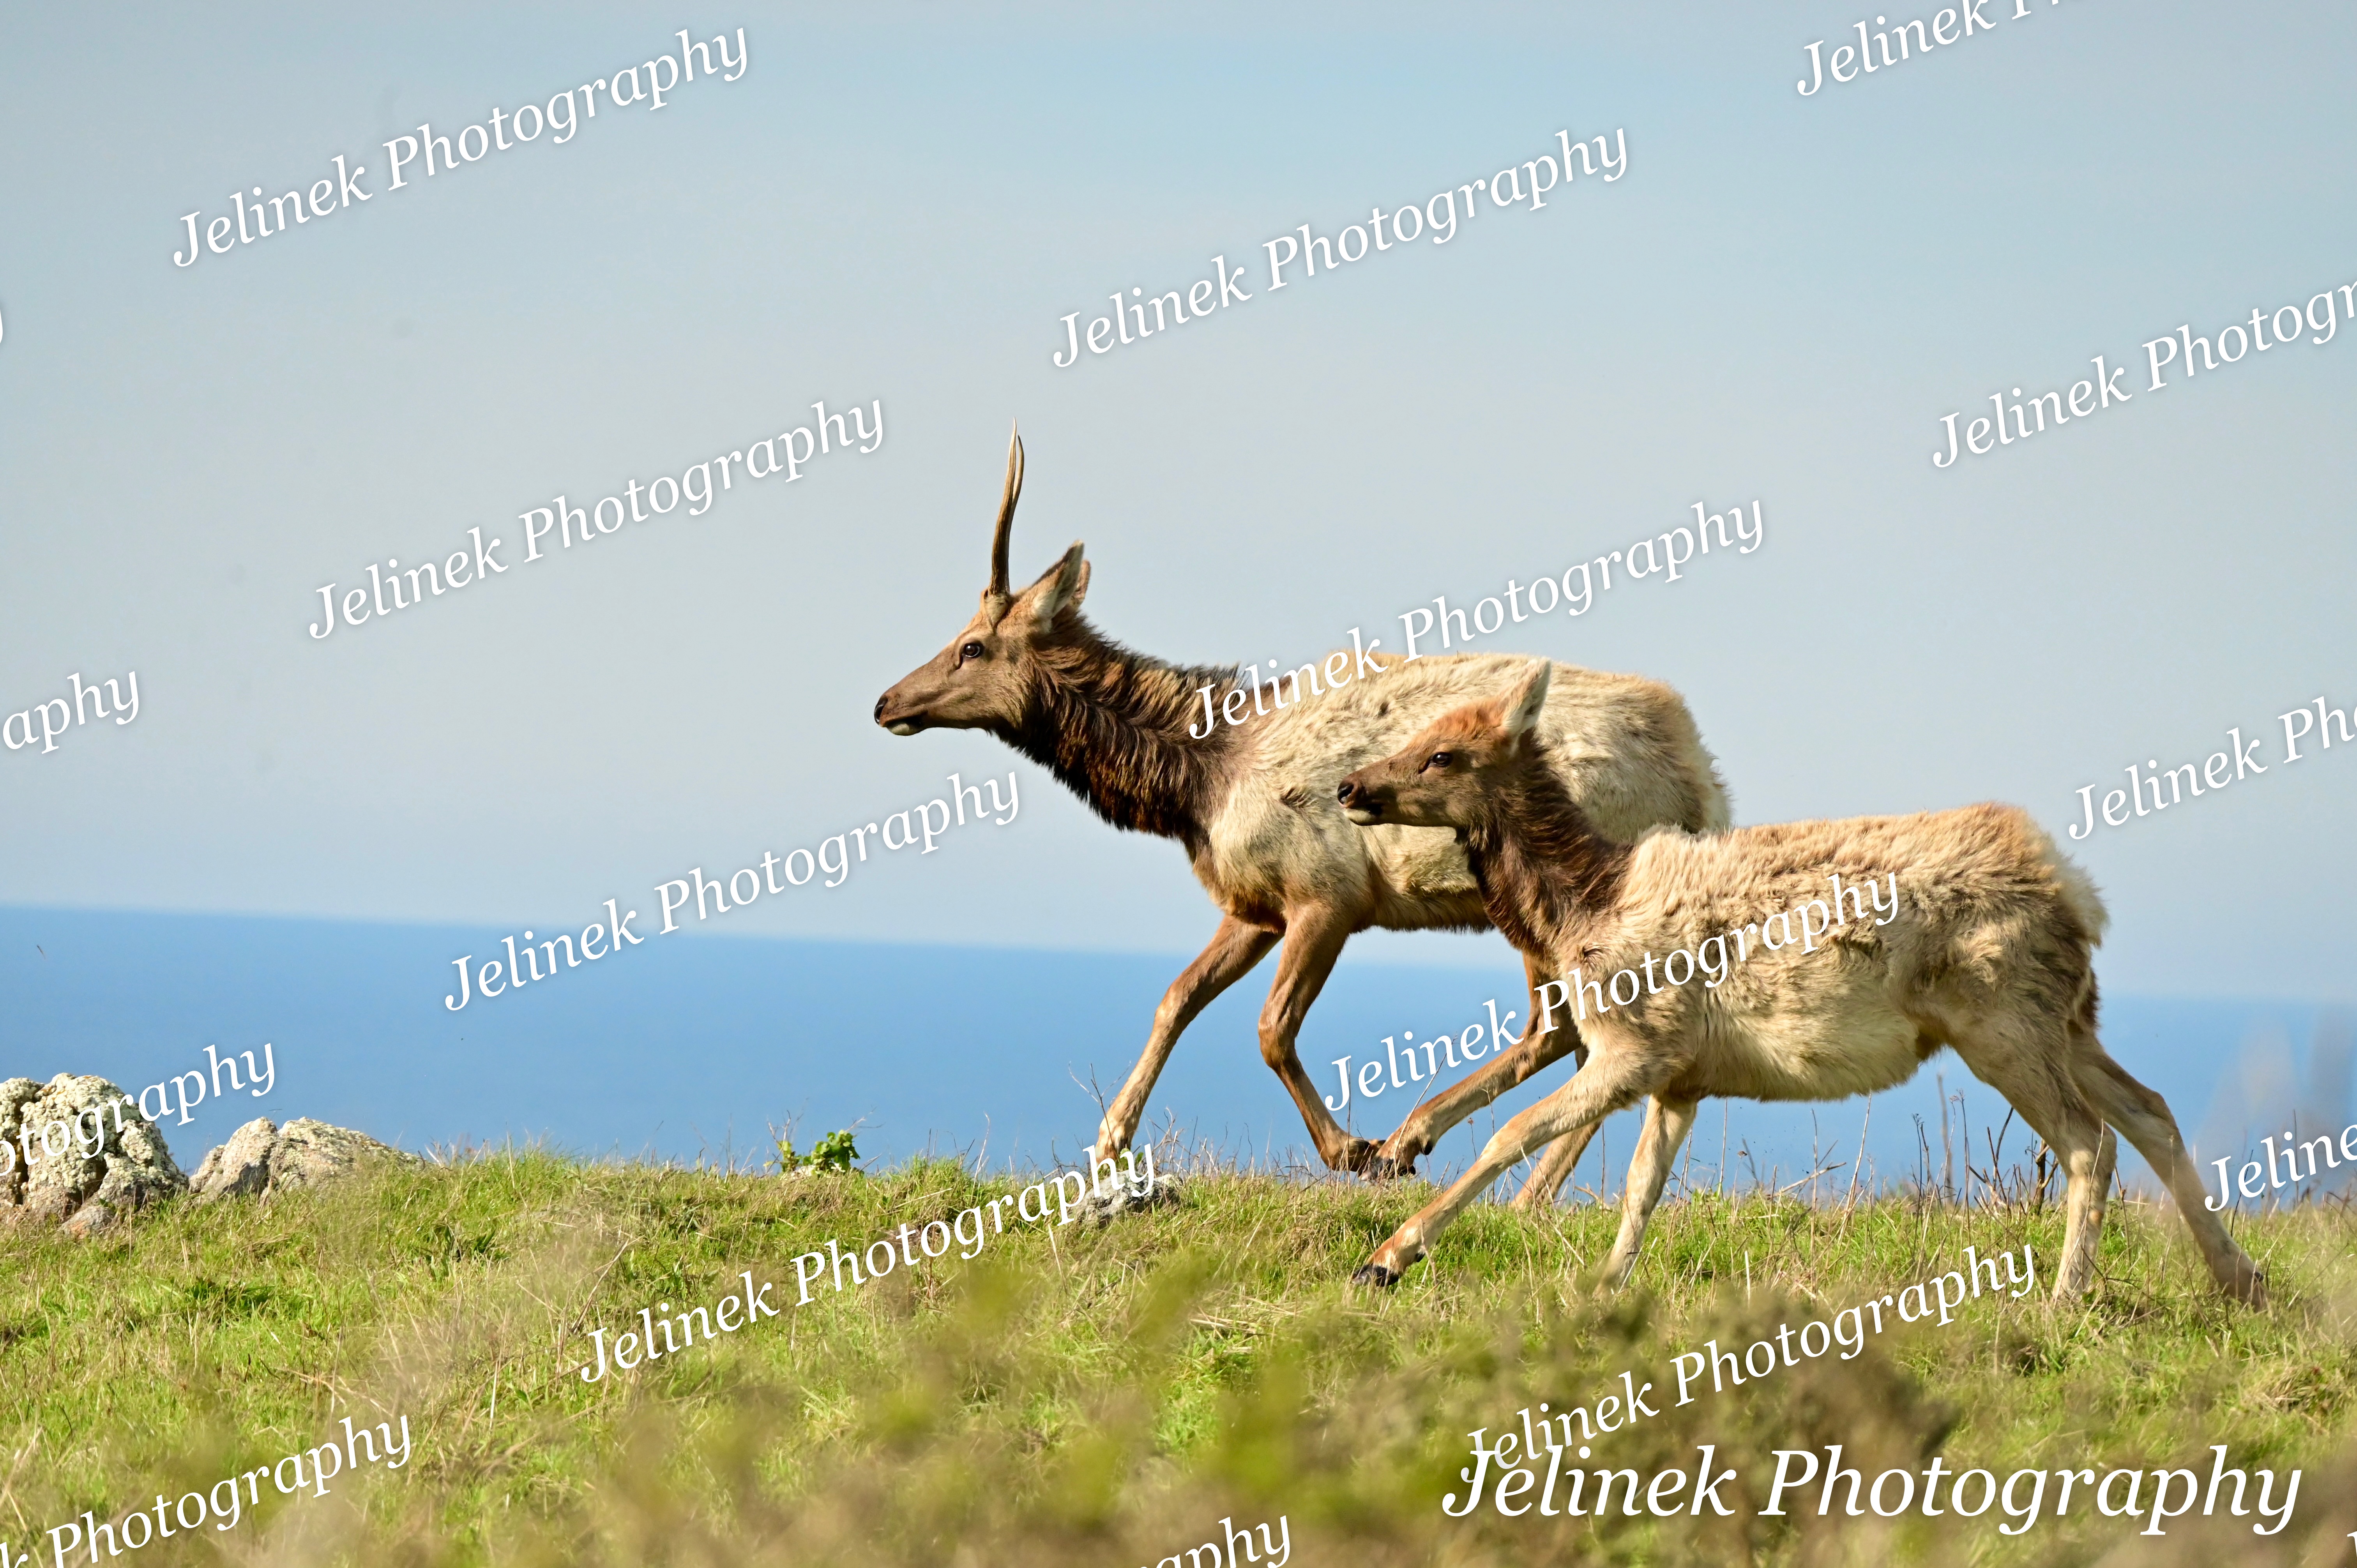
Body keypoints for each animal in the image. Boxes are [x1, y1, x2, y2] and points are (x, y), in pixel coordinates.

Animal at [873, 428, 1732, 1187]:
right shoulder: (1255, 904)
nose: (886, 701)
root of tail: (1702, 783)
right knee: (1591, 1040)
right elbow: (1174, 999)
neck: (1199, 787)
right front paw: (1109, 1142)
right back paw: (1521, 1189)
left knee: (1563, 1030)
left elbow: (1270, 1028)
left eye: (972, 646)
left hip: (1559, 890)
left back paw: (1427, 1147)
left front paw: (1348, 1147)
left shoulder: (1328, 894)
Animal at [1333, 661, 2266, 1305]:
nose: (1349, 784)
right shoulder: (1681, 1075)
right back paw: (2239, 1278)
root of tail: (2078, 895)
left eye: (1442, 753)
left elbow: (1511, 1135)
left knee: (2088, 1139)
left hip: (2001, 1022)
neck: (1582, 910)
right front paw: (1605, 1284)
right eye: (1417, 736)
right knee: (2151, 1110)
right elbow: (1640, 1186)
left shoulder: (1638, 1043)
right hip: (2068, 1019)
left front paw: (1386, 1256)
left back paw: (2066, 1296)